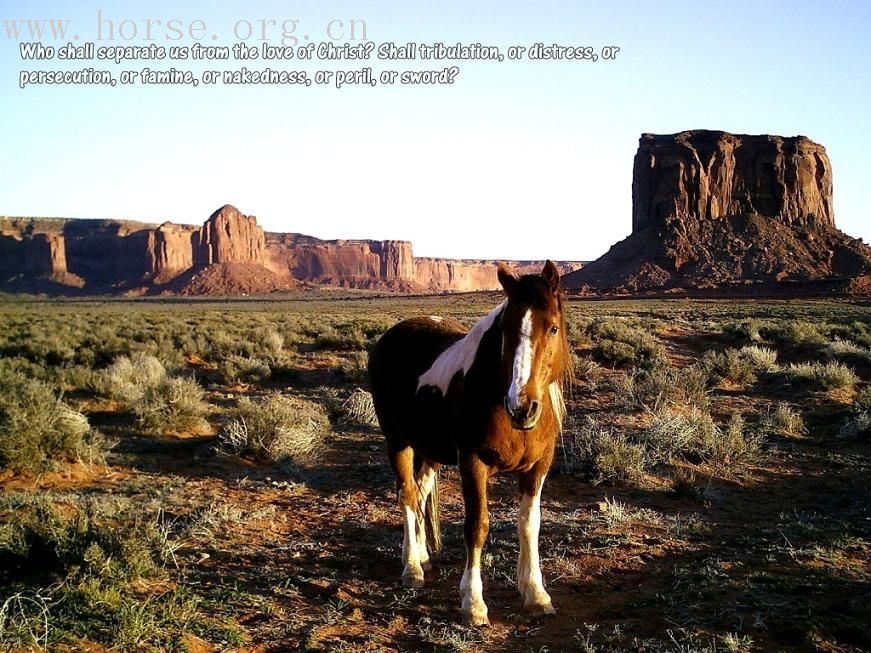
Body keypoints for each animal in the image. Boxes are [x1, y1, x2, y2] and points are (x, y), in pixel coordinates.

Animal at [368, 262, 572, 628]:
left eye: (552, 327)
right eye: (505, 330)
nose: (522, 407)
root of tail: (389, 338)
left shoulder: (538, 467)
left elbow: (529, 525)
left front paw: (536, 593)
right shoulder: (472, 463)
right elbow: (477, 526)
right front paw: (473, 603)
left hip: (430, 449)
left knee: (421, 491)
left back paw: (421, 554)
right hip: (398, 441)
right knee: (408, 495)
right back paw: (412, 567)